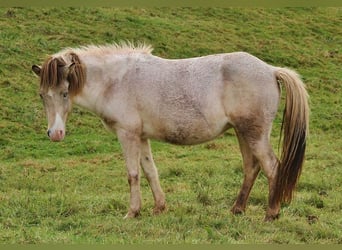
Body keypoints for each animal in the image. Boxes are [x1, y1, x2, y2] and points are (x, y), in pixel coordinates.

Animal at [32, 42, 310, 221]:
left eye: (64, 93)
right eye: (43, 95)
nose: (55, 134)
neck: (115, 81)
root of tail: (271, 70)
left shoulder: (127, 135)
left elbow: (133, 174)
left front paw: (132, 212)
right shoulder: (142, 137)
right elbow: (150, 171)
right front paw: (159, 208)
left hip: (255, 134)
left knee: (272, 168)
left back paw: (271, 213)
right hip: (243, 133)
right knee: (252, 168)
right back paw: (237, 209)